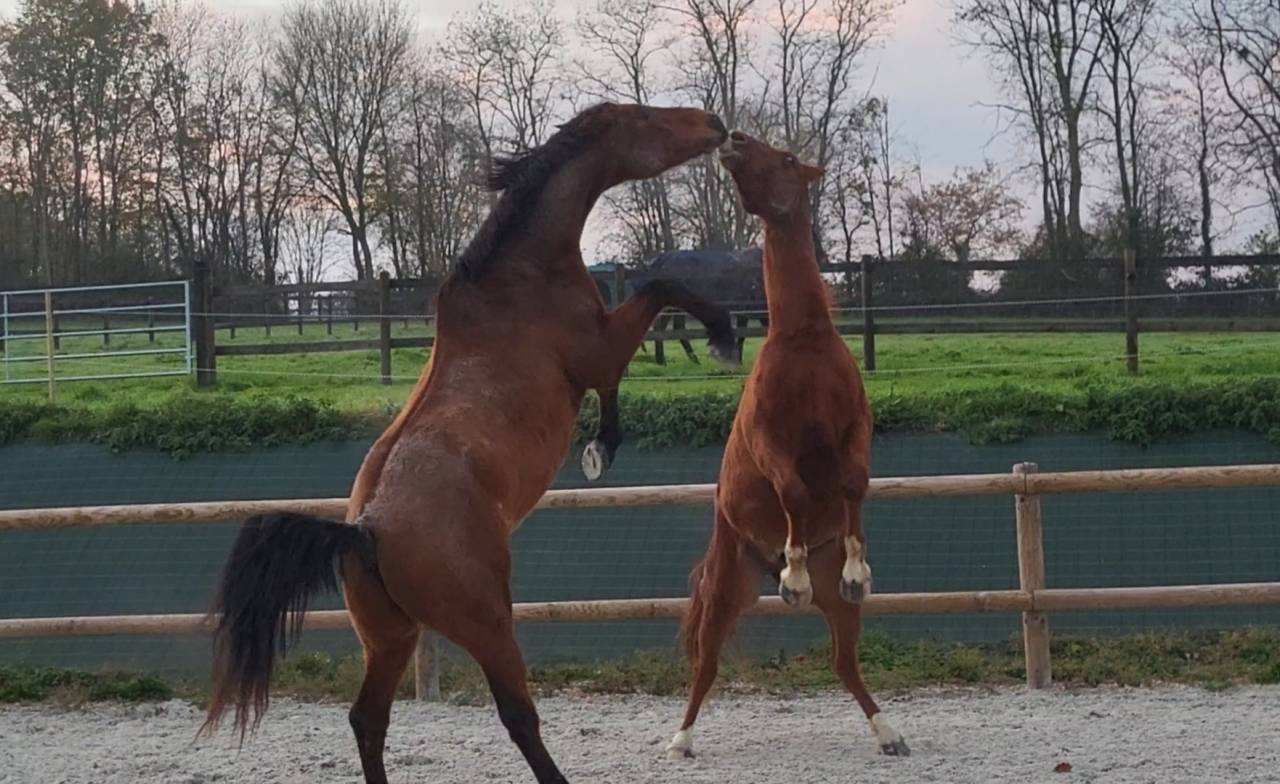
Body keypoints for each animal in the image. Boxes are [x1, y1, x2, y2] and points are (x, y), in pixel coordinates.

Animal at [199, 103, 738, 784]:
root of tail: (364, 531)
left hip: (391, 639)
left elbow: (625, 367)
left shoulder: (599, 357)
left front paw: (602, 448)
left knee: (368, 720)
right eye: (646, 119)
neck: (521, 276)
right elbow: (662, 290)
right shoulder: (599, 349)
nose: (714, 122)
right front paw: (722, 341)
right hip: (488, 625)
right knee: (516, 716)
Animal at [664, 131, 910, 762]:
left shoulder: (855, 430)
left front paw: (858, 567)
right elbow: (795, 489)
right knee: (705, 665)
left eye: (789, 159)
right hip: (725, 591)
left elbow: (853, 483)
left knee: (844, 663)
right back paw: (680, 739)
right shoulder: (769, 443)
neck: (804, 341)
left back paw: (889, 733)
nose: (732, 140)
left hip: (839, 612)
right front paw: (793, 577)